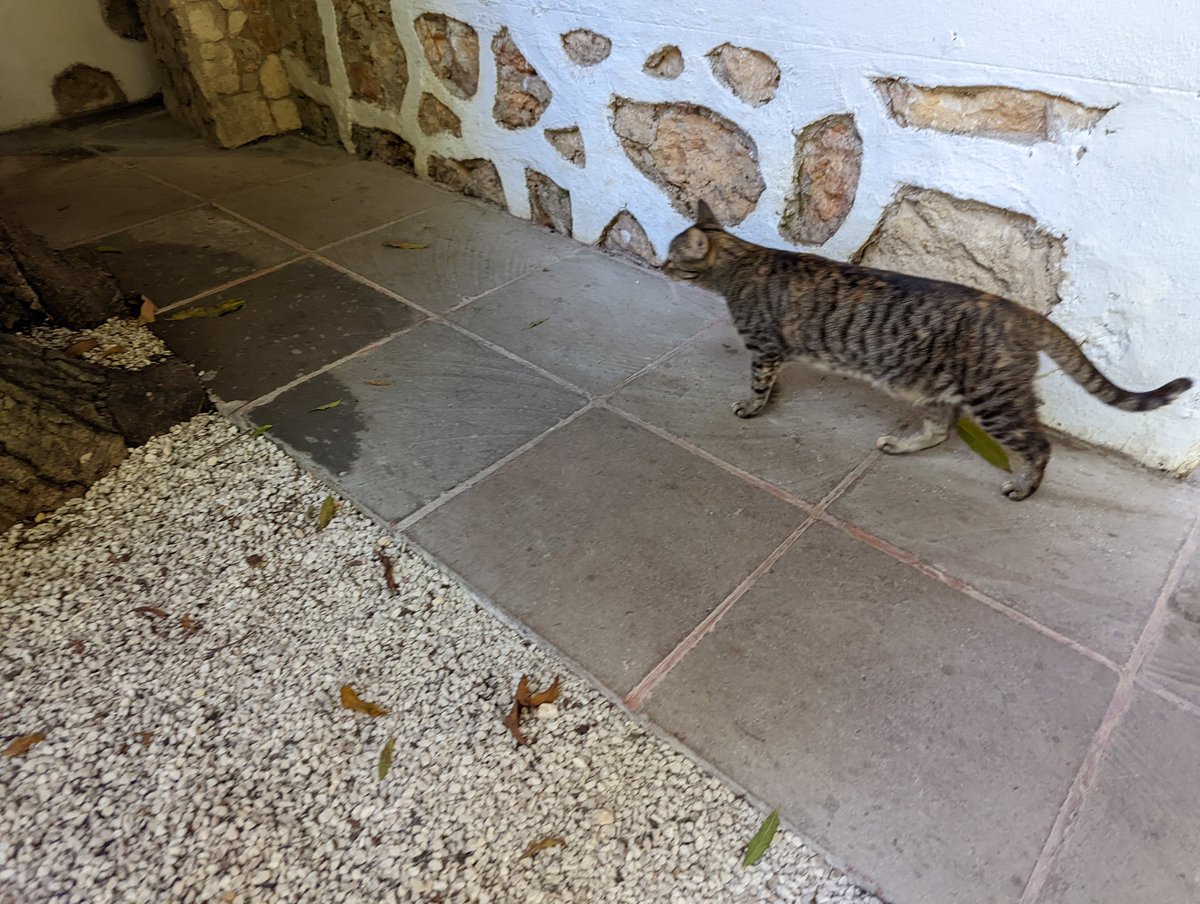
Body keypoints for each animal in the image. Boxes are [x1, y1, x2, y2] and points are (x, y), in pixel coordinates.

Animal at [662, 201, 1193, 500]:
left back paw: (1023, 488)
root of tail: (1022, 311)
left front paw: (753, 407)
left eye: (671, 257)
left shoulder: (765, 346)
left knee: (1038, 446)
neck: (740, 262)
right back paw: (901, 445)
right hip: (938, 389)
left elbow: (759, 384)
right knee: (941, 430)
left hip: (995, 400)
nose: (662, 266)